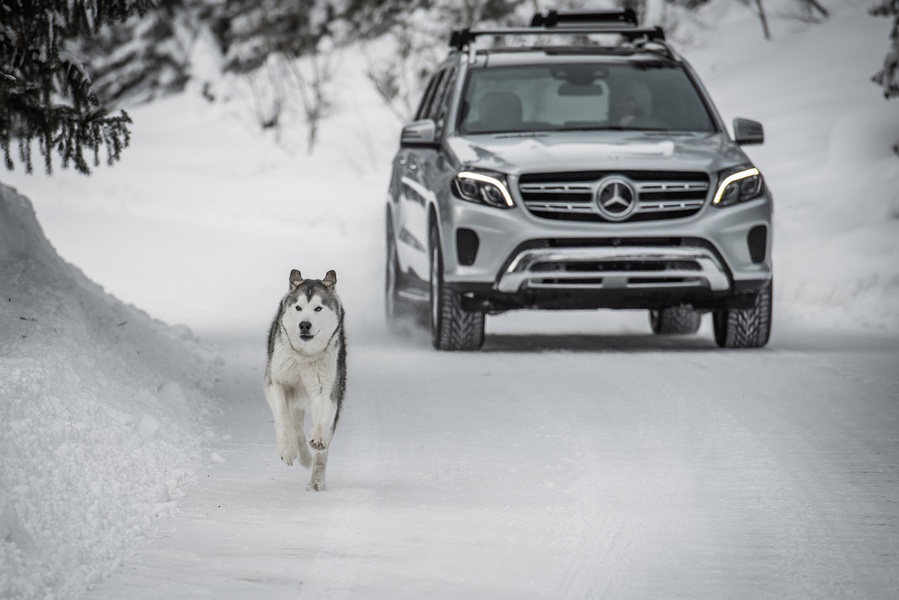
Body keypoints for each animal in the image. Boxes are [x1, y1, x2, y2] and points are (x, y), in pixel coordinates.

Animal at [266, 270, 346, 490]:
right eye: (298, 307)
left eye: (318, 308)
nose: (304, 325)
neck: (305, 355)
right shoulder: (276, 383)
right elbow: (284, 417)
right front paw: (287, 449)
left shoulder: (326, 389)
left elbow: (322, 417)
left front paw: (317, 438)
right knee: (296, 428)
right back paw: (302, 456)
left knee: (322, 451)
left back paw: (316, 480)